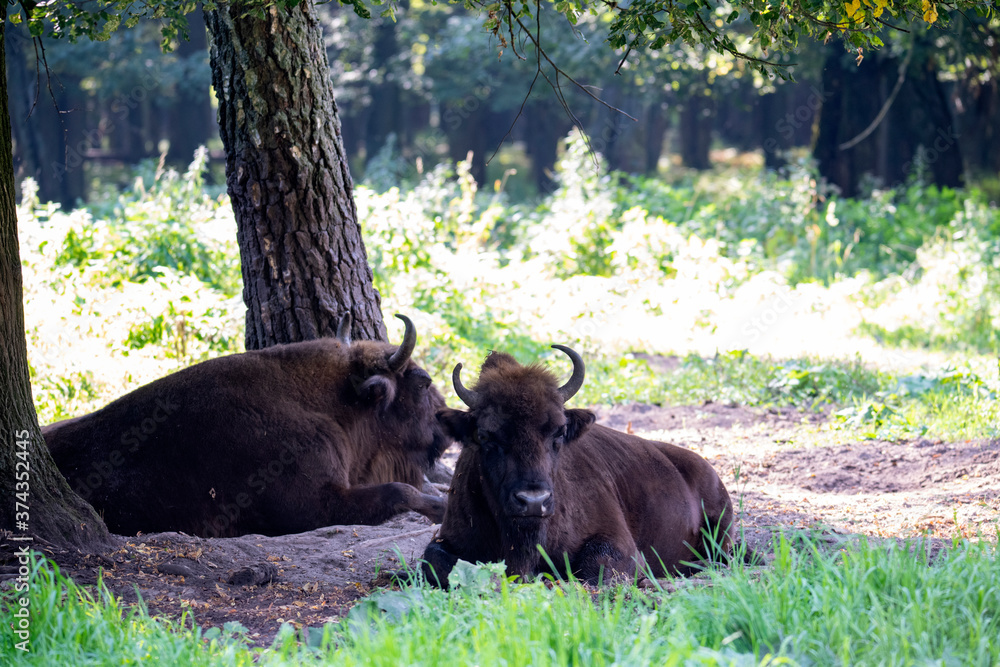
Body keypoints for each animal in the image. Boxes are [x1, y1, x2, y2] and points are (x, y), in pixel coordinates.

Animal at [44, 314, 450, 538]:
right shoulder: (315, 506)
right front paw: (442, 508)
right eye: (423, 382)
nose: (446, 428)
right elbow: (399, 490)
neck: (333, 403)